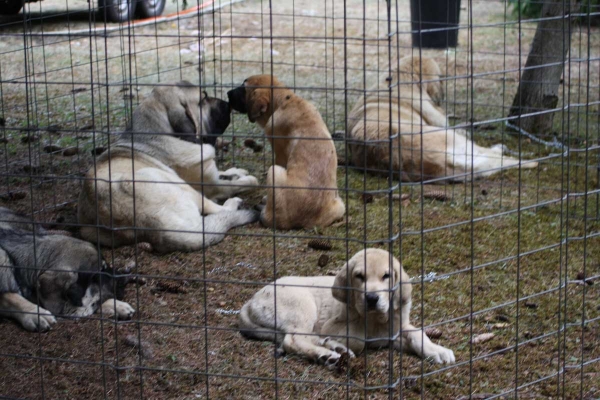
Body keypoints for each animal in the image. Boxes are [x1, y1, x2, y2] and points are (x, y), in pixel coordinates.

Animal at [227, 75, 344, 230]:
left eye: (243, 89)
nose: (227, 93)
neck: (285, 100)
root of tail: (305, 222)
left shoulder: (279, 154)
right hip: (340, 204)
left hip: (274, 171)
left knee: (270, 217)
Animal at [239, 250, 454, 368]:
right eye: (359, 276)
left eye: (386, 276)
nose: (372, 298)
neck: (375, 320)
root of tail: (251, 301)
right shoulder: (332, 325)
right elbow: (358, 339)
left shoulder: (394, 330)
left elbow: (418, 333)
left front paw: (437, 351)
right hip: (302, 307)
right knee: (293, 340)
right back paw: (328, 354)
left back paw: (333, 348)